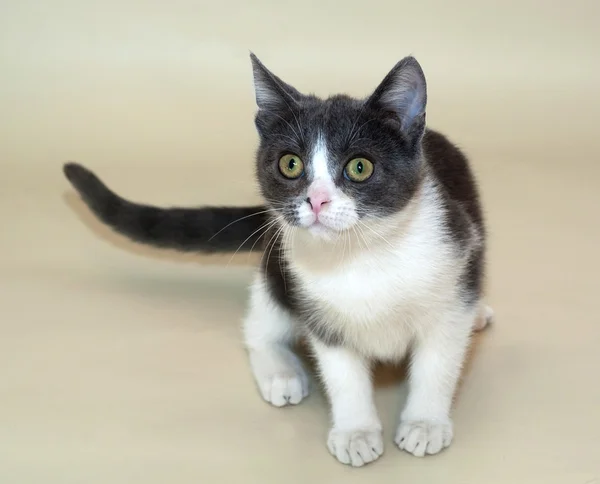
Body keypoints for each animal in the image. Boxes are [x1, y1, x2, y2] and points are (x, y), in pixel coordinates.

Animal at [63, 52, 492, 466]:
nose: (316, 201)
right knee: (258, 325)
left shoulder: (453, 279)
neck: (362, 254)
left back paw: (480, 314)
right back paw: (281, 372)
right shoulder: (316, 307)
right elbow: (344, 375)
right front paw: (355, 432)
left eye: (359, 167)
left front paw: (424, 424)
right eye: (290, 164)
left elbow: (437, 365)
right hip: (275, 266)